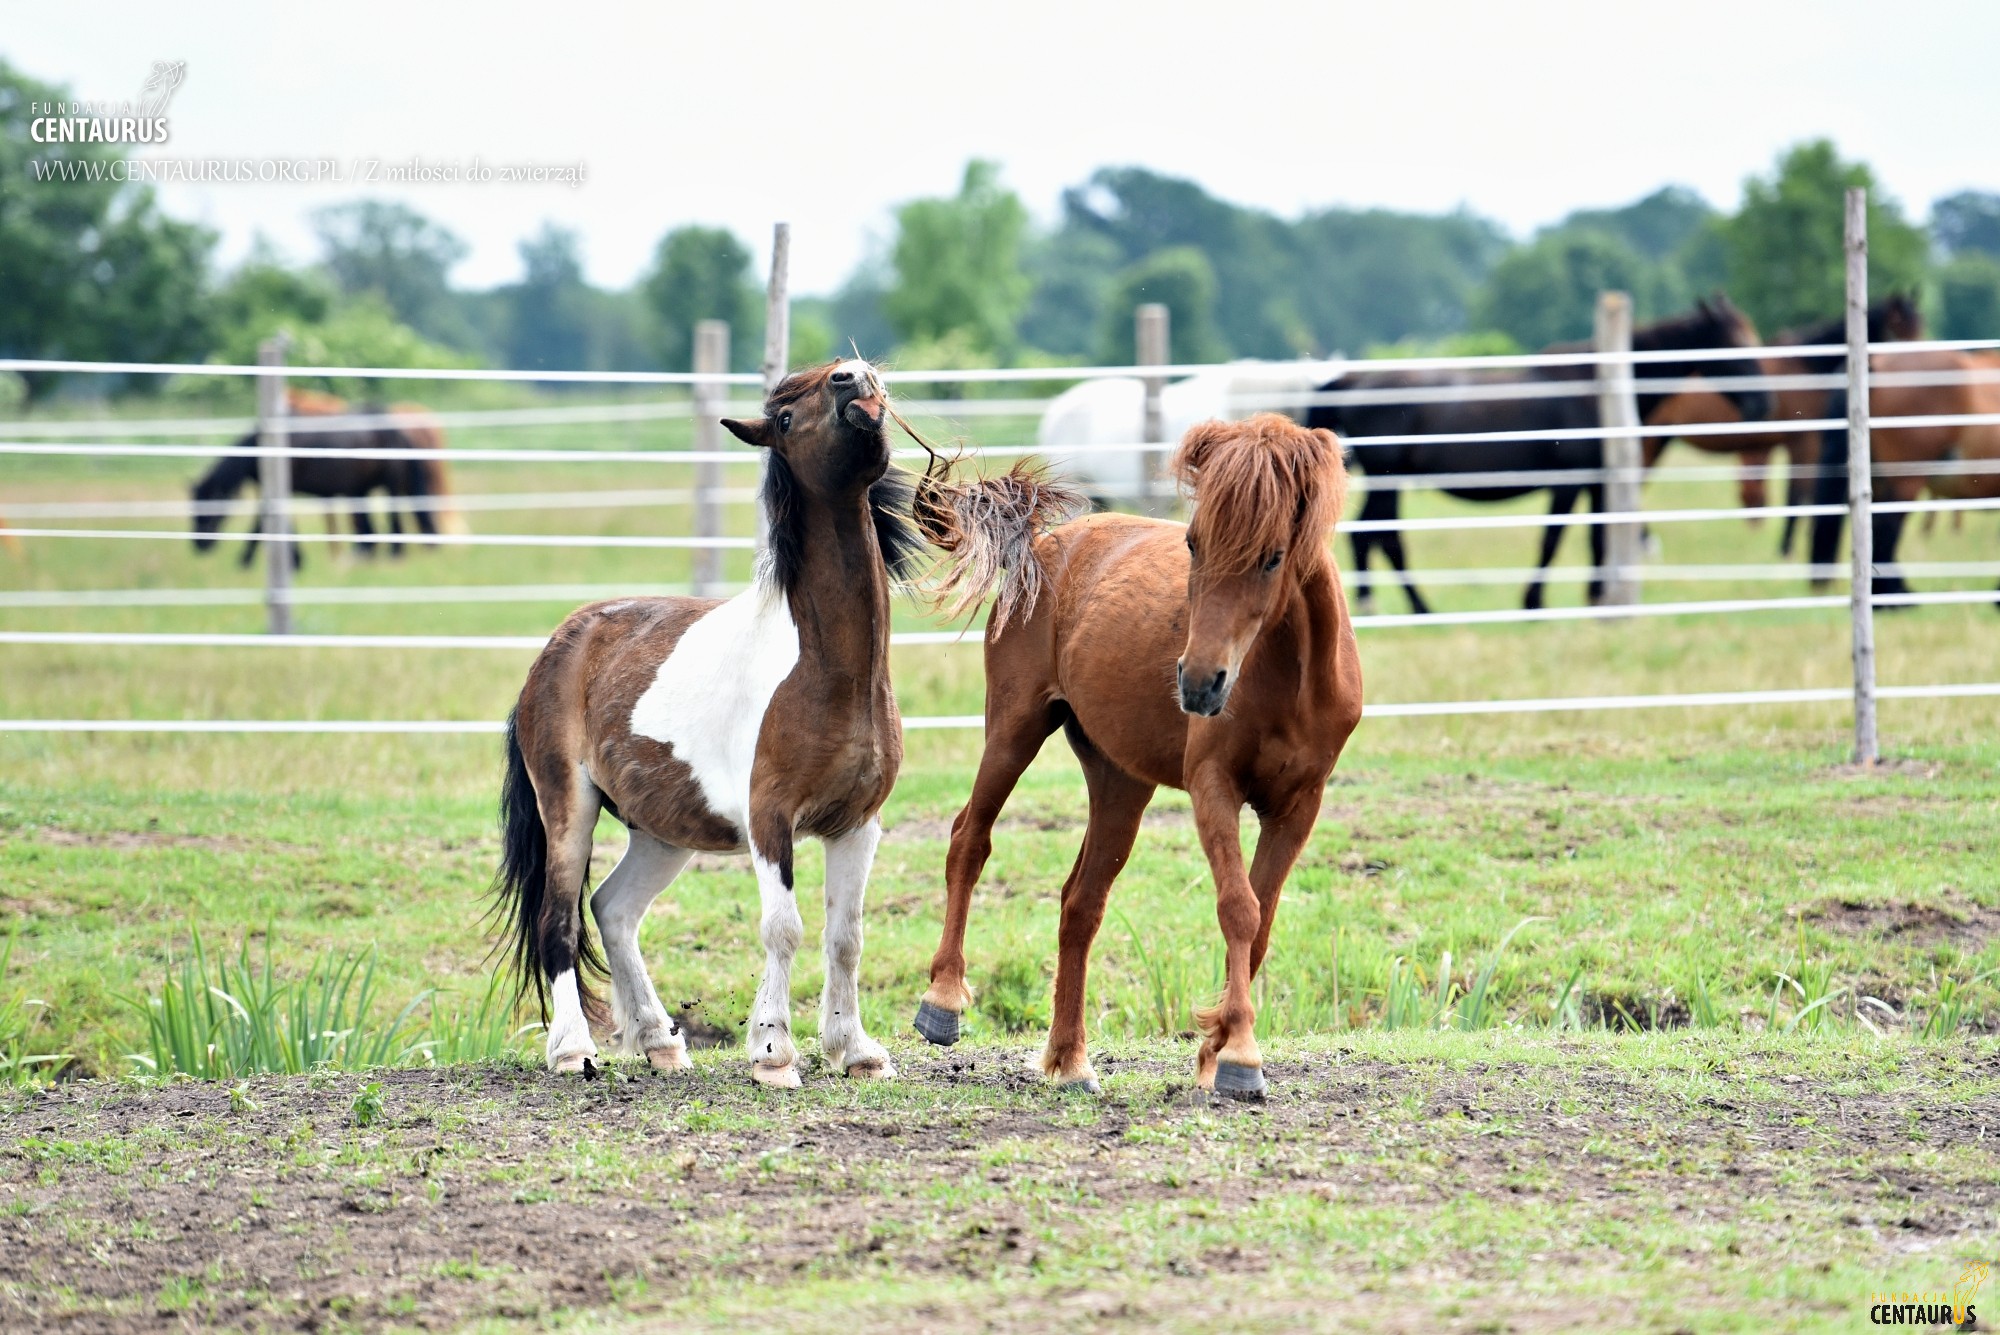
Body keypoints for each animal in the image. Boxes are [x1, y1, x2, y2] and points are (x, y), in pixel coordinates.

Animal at [492, 357, 928, 1087]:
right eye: (786, 417)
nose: (852, 376)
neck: (826, 669)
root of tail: (557, 648)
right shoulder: (769, 820)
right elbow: (784, 927)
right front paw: (774, 1053)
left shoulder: (858, 823)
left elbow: (847, 934)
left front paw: (855, 1050)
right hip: (570, 808)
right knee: (558, 921)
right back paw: (573, 1050)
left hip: (662, 832)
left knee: (613, 909)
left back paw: (661, 1042)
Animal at [916, 413, 1368, 1095]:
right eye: (1193, 544)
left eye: (1272, 558)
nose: (1199, 683)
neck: (1290, 681)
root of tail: (1045, 545)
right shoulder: (1213, 787)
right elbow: (1239, 908)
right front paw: (1239, 1055)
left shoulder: (1298, 807)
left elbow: (1261, 923)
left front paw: (1216, 1048)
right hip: (1014, 731)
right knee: (970, 838)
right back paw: (942, 1003)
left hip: (1120, 782)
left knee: (1081, 904)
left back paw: (1070, 1060)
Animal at [1320, 293, 1776, 611]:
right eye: (1733, 345)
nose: (1764, 403)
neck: (1595, 389)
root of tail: (1351, 382)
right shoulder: (1568, 482)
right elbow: (1553, 538)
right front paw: (1534, 602)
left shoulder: (1597, 482)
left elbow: (1598, 538)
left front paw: (1596, 598)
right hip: (1388, 481)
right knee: (1381, 536)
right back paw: (1410, 608)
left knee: (1373, 535)